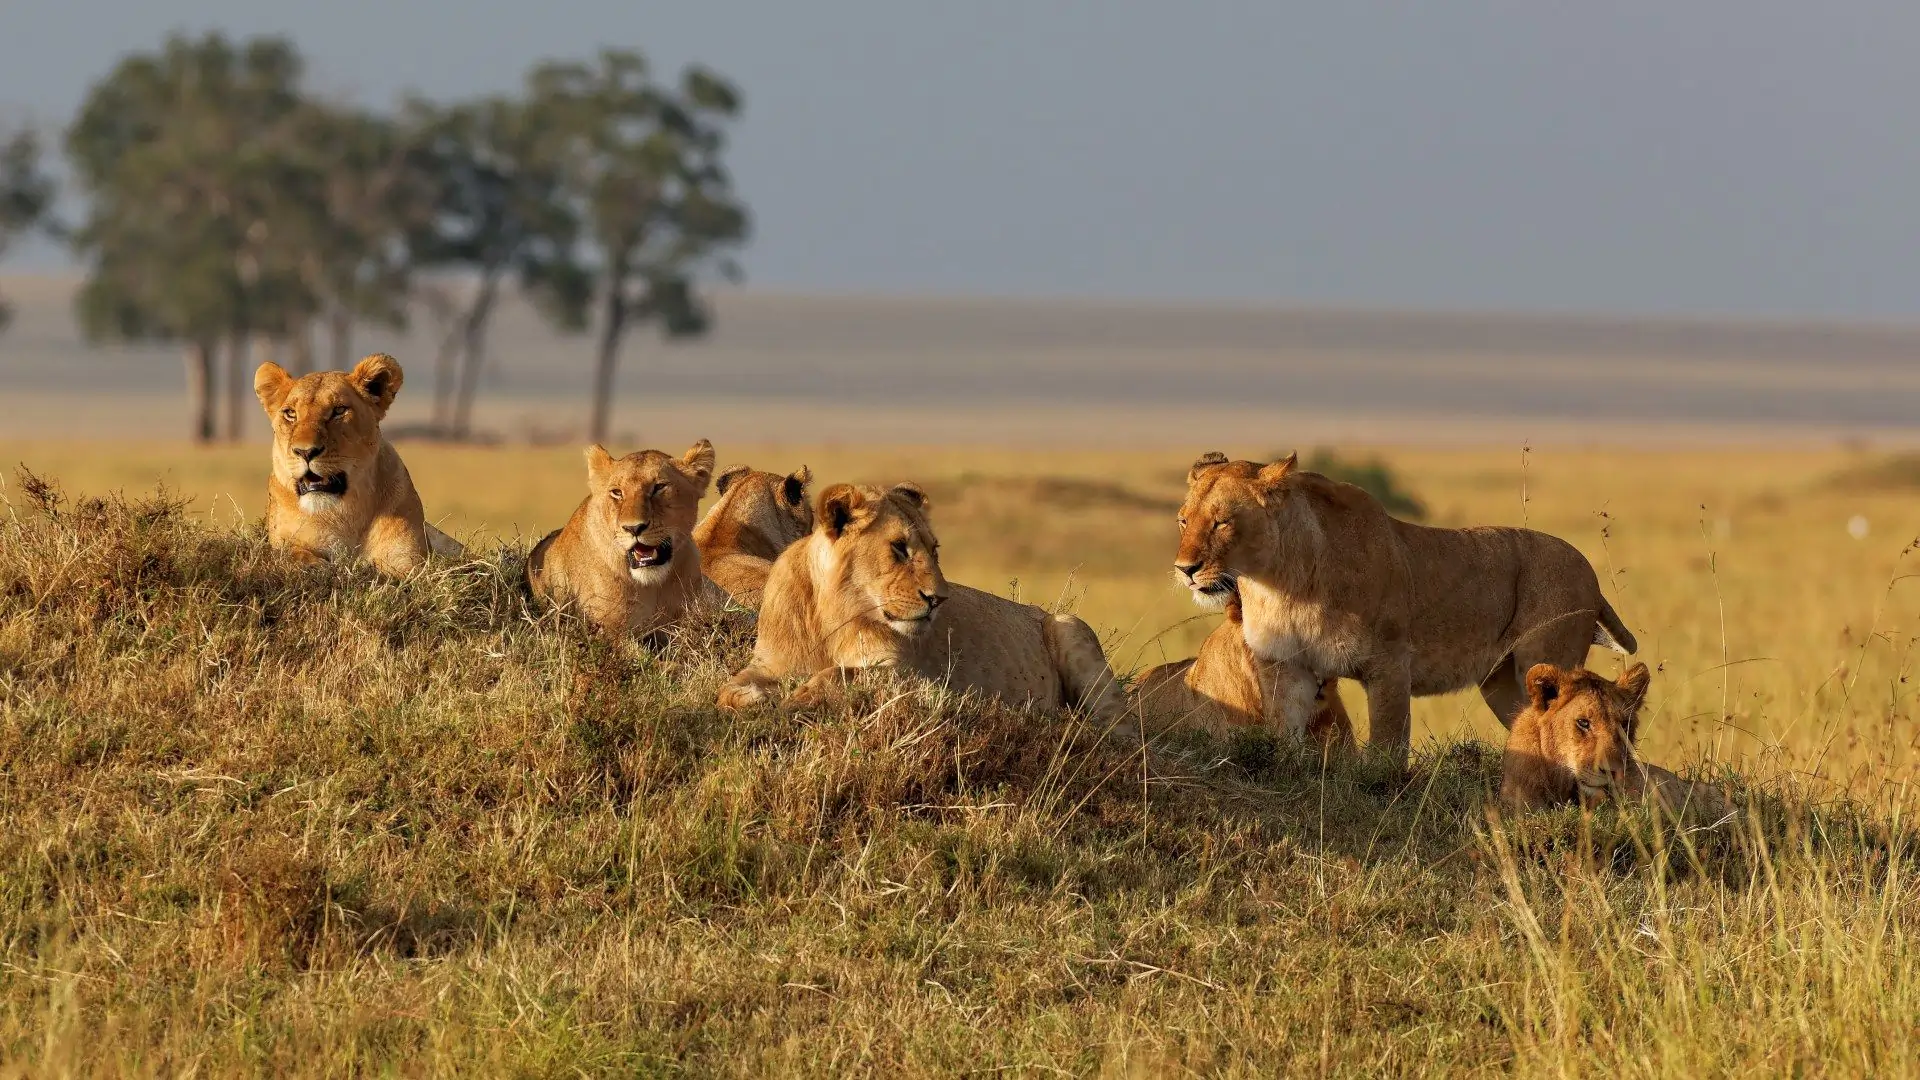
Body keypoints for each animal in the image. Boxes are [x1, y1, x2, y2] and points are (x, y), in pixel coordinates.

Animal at [254, 353, 462, 575]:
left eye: (339, 410)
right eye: (290, 413)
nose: (305, 452)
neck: (344, 514)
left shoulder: (409, 559)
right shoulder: (284, 541)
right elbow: (294, 554)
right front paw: (318, 566)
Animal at [716, 482, 1123, 720]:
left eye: (934, 549)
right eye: (899, 548)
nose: (939, 598)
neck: (829, 616)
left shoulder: (914, 678)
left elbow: (841, 674)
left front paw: (798, 699)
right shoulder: (768, 662)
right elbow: (729, 688)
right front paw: (754, 698)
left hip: (1069, 625)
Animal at [1175, 451, 1636, 767]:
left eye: (1221, 522)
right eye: (1183, 520)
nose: (1185, 569)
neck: (1280, 584)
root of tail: (1589, 571)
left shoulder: (1390, 664)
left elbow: (1387, 746)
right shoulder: (1286, 667)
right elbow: (1285, 734)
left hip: (1542, 661)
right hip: (1503, 684)